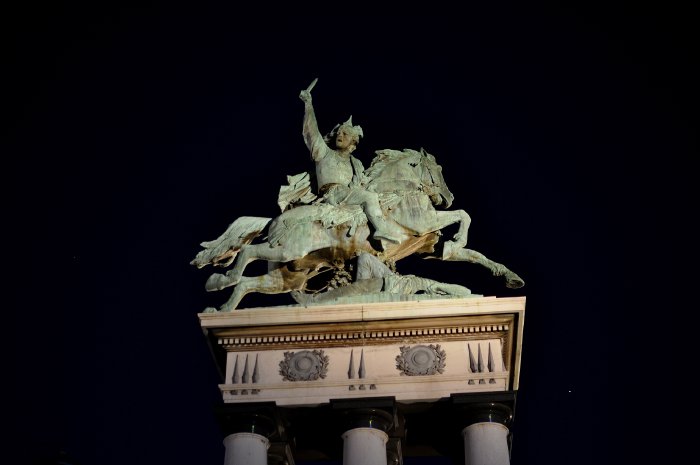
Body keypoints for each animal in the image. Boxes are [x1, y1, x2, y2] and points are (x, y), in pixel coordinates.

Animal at [190, 147, 520, 310]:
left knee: (249, 283)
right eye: (436, 169)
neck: (397, 192)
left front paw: (509, 276)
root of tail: (275, 219)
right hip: (287, 250)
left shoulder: (429, 246)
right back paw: (221, 280)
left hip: (289, 274)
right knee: (246, 252)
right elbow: (463, 215)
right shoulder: (424, 222)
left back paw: (222, 307)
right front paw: (459, 236)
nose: (447, 197)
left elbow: (473, 255)